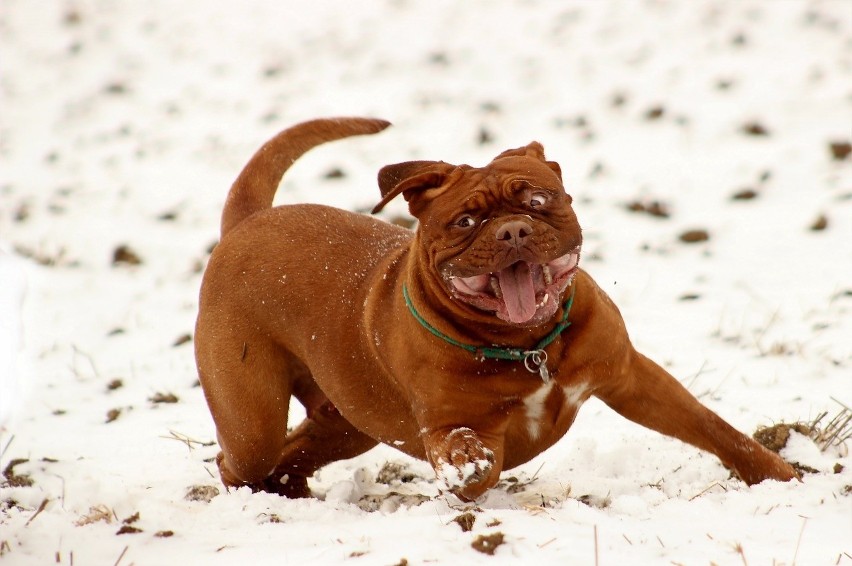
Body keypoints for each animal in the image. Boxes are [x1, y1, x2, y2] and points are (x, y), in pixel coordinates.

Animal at [195, 116, 800, 502]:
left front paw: (780, 476)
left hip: (346, 423)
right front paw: (470, 469)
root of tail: (248, 222)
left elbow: (714, 428)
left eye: (537, 200)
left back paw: (289, 491)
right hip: (252, 418)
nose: (511, 230)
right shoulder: (449, 424)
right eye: (465, 221)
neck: (529, 346)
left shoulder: (634, 379)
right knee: (245, 456)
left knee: (298, 450)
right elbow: (469, 453)